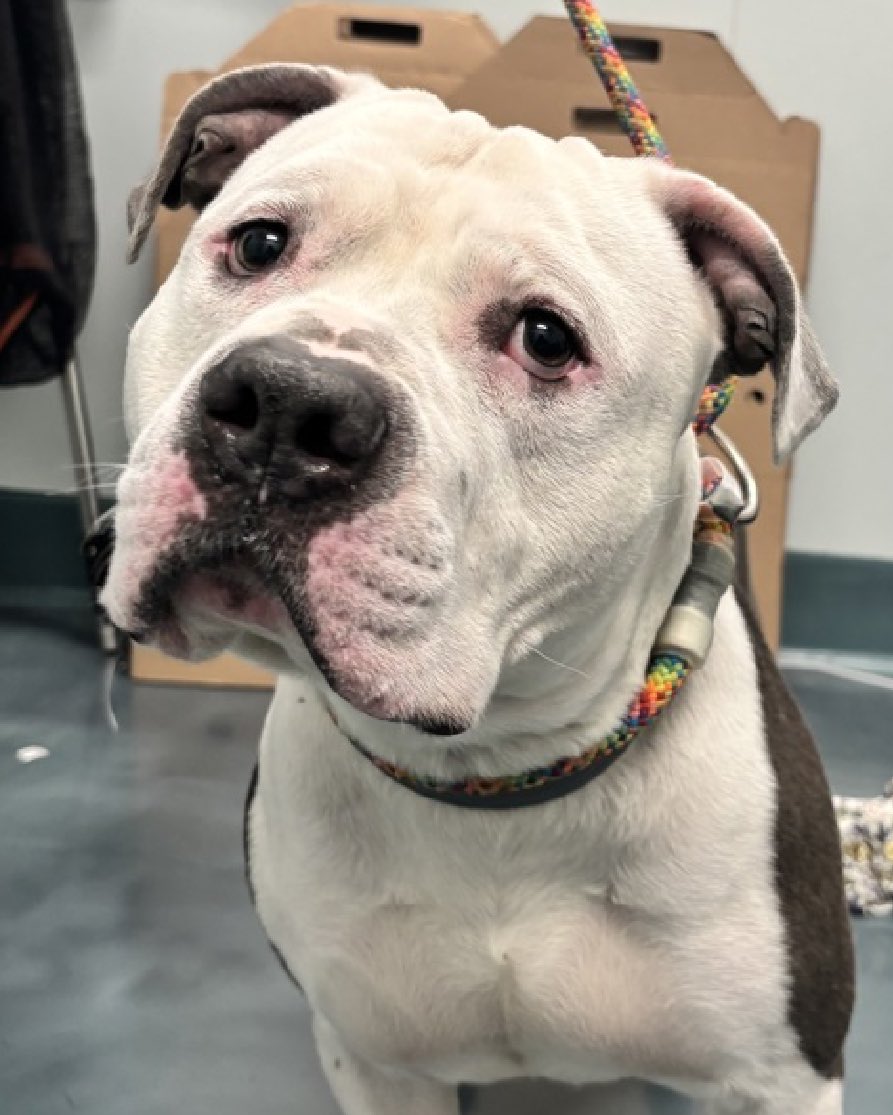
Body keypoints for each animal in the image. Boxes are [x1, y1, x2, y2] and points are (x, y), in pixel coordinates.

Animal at [102, 64, 854, 1114]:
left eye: (545, 337)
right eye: (258, 243)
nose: (290, 406)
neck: (499, 768)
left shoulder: (779, 1080)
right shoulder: (375, 1059)